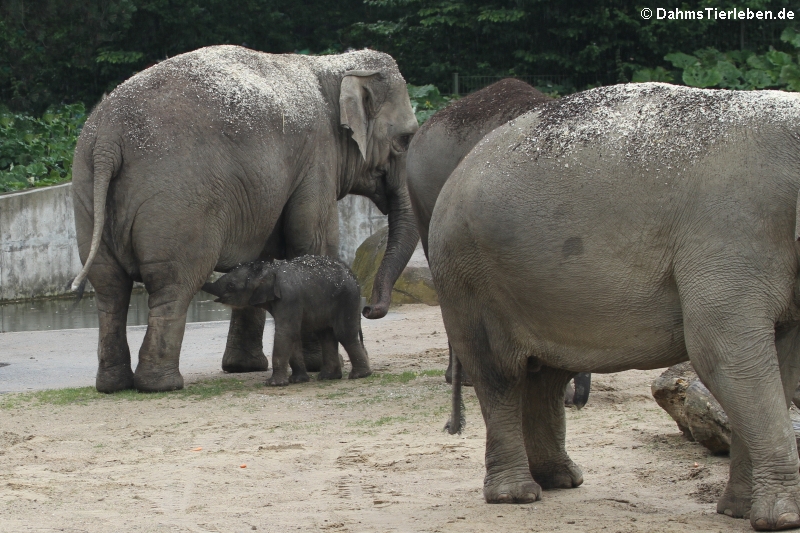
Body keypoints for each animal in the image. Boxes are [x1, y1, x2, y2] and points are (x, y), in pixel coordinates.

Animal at [203, 256, 372, 384]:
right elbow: (293, 334)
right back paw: (328, 377)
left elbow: (285, 332)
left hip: (347, 299)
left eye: (231, 286)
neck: (268, 268)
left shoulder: (289, 298)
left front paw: (273, 384)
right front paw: (298, 380)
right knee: (326, 335)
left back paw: (360, 375)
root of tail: (353, 274)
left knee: (344, 334)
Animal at [432, 81, 800, 528]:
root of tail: (458, 169)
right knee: (499, 374)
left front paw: (738, 511)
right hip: (468, 275)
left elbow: (781, 365)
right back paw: (516, 496)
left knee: (546, 376)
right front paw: (782, 519)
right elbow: (724, 354)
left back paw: (561, 479)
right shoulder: (733, 232)